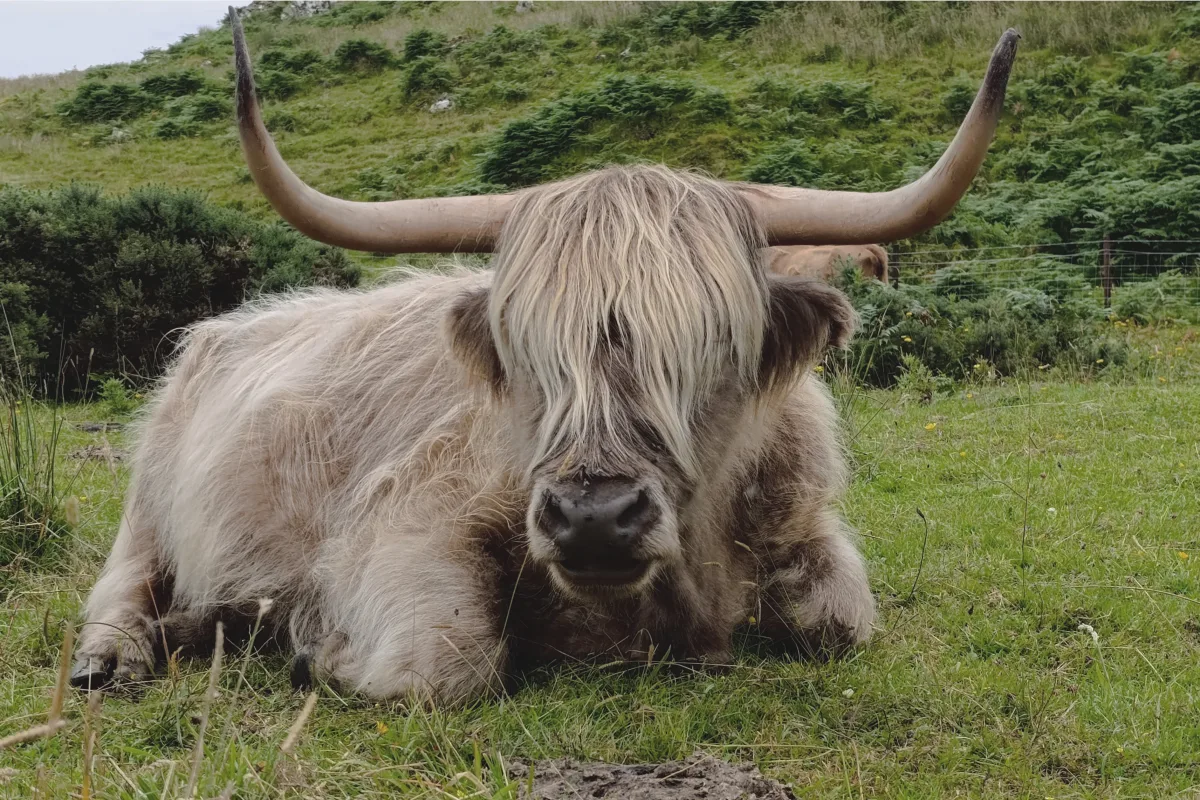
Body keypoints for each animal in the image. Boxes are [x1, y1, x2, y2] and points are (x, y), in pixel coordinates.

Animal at [70, 18, 1018, 704]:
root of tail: (227, 326)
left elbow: (837, 620)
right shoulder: (402, 528)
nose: (593, 517)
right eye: (525, 349)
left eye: (714, 348)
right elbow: (443, 662)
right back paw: (120, 657)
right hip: (149, 507)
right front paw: (314, 649)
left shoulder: (806, 527)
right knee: (122, 585)